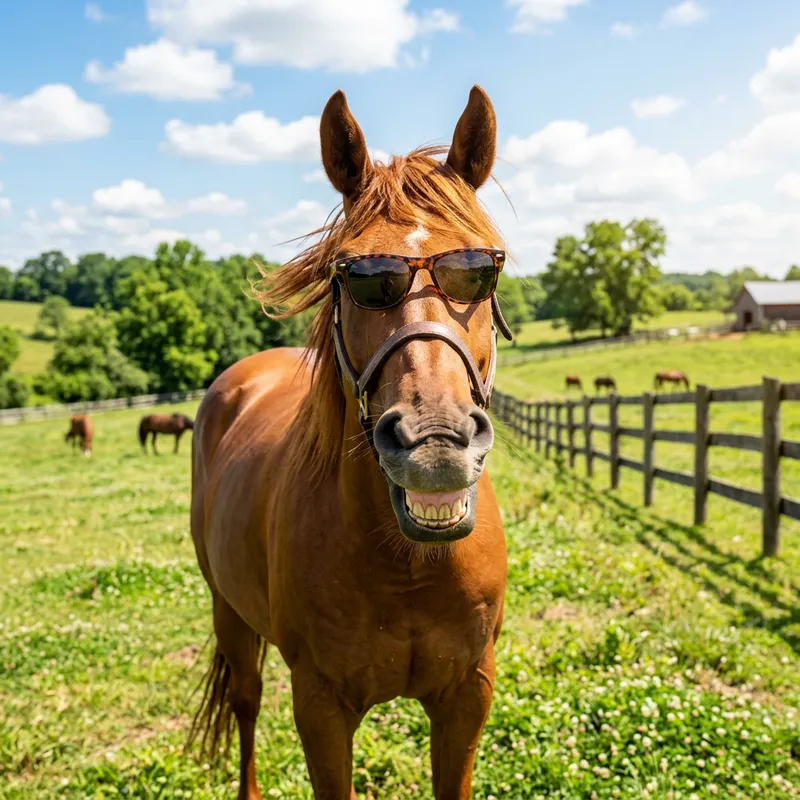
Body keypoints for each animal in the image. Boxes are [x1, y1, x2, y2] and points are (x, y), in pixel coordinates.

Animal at [188, 86, 511, 799]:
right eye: (359, 277)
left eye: (480, 271)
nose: (435, 442)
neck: (405, 566)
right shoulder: (320, 707)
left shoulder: (467, 695)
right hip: (228, 612)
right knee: (246, 702)